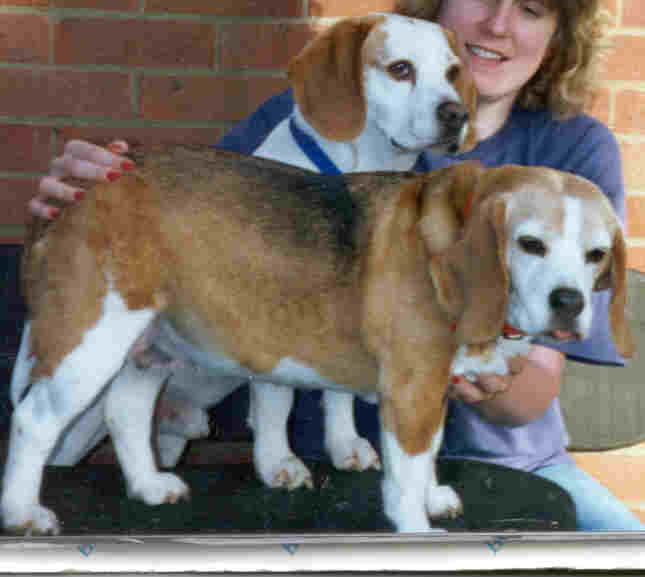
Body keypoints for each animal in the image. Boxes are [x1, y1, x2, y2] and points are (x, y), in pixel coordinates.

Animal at [2, 151, 632, 532]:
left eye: (596, 255)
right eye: (530, 245)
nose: (569, 302)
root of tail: (75, 194)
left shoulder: (432, 392)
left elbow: (427, 454)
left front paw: (433, 497)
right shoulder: (412, 388)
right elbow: (406, 472)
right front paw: (416, 526)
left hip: (149, 342)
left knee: (127, 411)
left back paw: (149, 485)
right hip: (92, 337)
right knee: (34, 419)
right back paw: (24, 511)